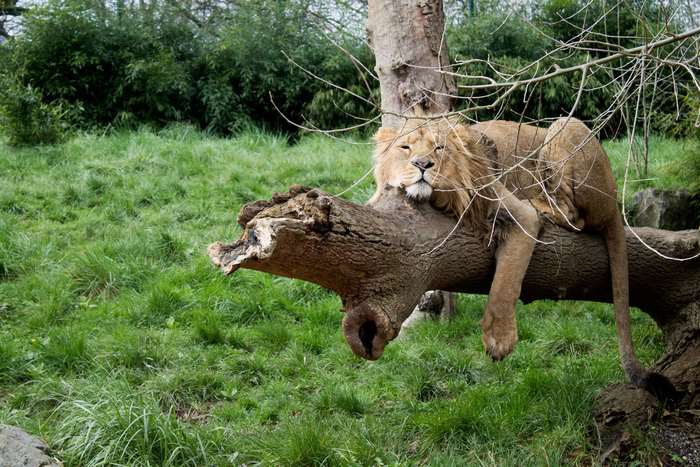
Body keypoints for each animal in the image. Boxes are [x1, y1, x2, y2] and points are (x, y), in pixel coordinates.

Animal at [370, 117, 674, 396]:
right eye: (405, 147)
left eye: (439, 148)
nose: (423, 165)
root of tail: (613, 200)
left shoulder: (517, 214)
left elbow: (506, 281)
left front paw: (499, 339)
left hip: (564, 127)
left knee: (572, 215)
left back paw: (542, 205)